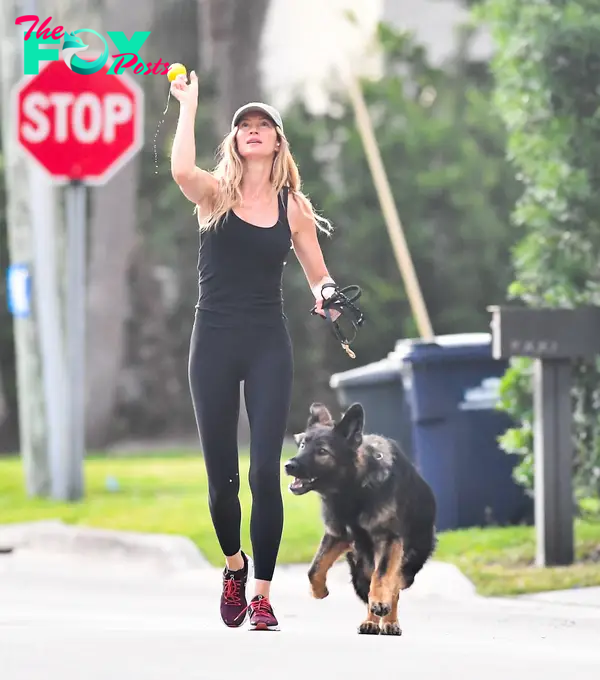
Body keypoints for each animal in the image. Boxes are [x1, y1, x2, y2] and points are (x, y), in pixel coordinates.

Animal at [286, 402, 436, 636]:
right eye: (302, 445)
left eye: (322, 451)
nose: (288, 465)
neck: (354, 490)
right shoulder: (337, 535)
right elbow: (314, 569)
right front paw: (319, 591)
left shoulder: (388, 540)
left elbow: (383, 577)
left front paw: (383, 605)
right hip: (360, 567)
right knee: (368, 589)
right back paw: (371, 622)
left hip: (406, 565)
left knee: (393, 586)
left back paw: (389, 620)